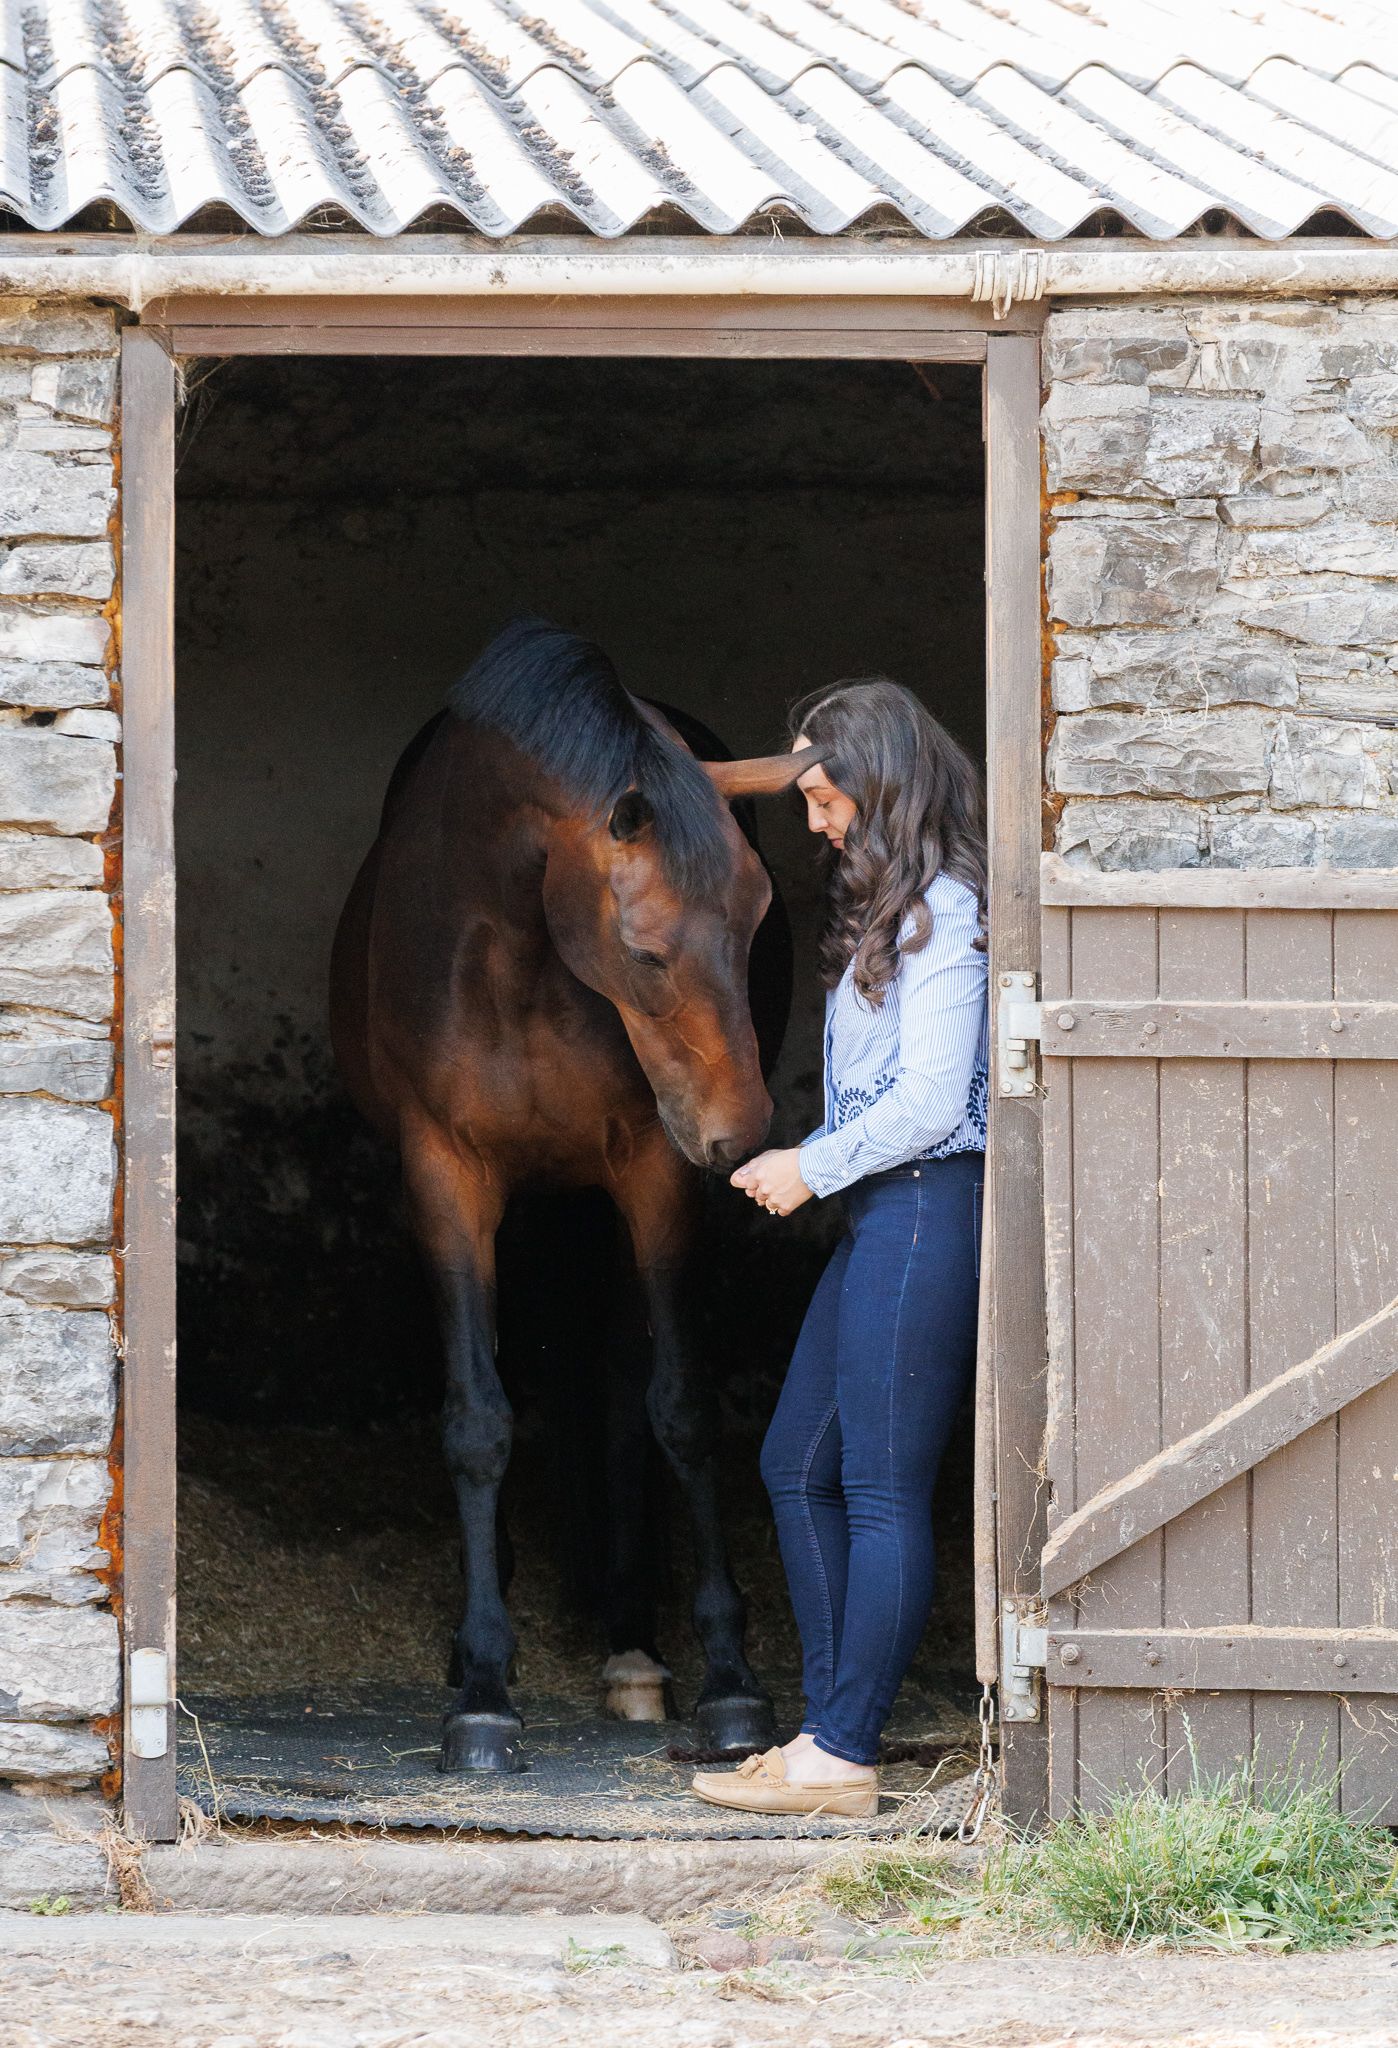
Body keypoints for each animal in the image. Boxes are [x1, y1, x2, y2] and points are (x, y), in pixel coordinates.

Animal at [329, 619, 814, 1772]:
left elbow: (679, 1406)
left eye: (759, 923)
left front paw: (729, 1676)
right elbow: (478, 1418)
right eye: (644, 948)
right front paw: (483, 1690)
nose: (738, 1135)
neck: (519, 952)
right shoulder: (447, 1176)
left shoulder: (651, 1169)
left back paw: (632, 1635)